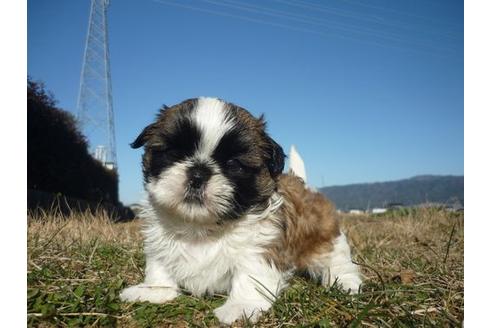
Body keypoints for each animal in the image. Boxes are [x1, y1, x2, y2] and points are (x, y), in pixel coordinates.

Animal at [121, 96, 364, 322]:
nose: (198, 174)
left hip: (324, 238)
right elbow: (159, 265)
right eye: (175, 154)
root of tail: (303, 185)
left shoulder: (261, 245)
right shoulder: (160, 242)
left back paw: (345, 282)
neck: (202, 227)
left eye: (233, 165)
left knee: (336, 260)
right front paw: (154, 290)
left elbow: (251, 275)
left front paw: (240, 306)